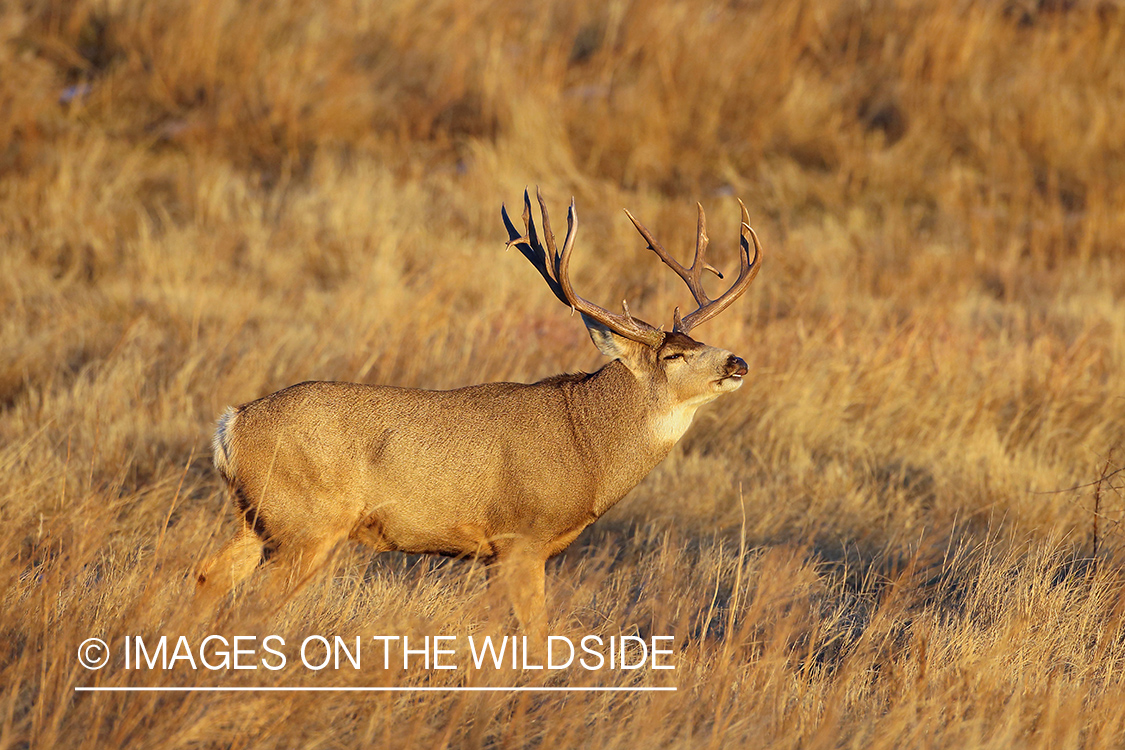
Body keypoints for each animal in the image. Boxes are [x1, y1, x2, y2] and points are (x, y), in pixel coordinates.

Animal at [195, 189, 763, 640]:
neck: (586, 449)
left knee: (208, 575)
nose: (737, 361)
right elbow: (536, 637)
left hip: (264, 518)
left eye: (699, 343)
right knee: (252, 605)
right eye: (672, 356)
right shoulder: (520, 538)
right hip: (309, 523)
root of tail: (233, 424)